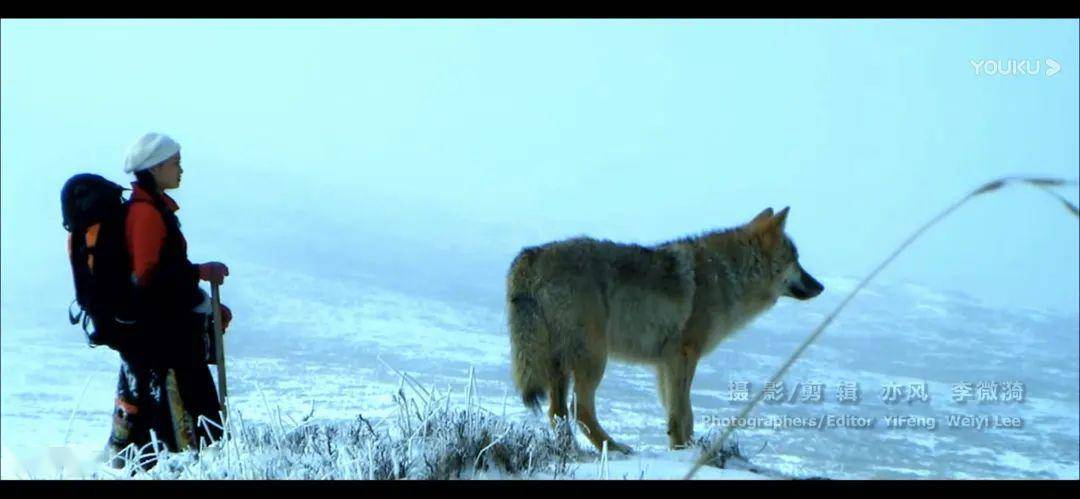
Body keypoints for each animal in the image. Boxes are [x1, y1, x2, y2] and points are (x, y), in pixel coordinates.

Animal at [503, 205, 816, 451]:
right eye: (796, 261)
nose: (820, 286)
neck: (728, 274)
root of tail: (530, 256)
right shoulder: (683, 355)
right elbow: (683, 412)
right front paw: (686, 450)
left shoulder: (665, 363)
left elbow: (677, 411)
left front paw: (683, 449)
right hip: (593, 359)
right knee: (580, 410)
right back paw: (615, 448)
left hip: (559, 364)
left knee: (557, 413)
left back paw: (571, 453)